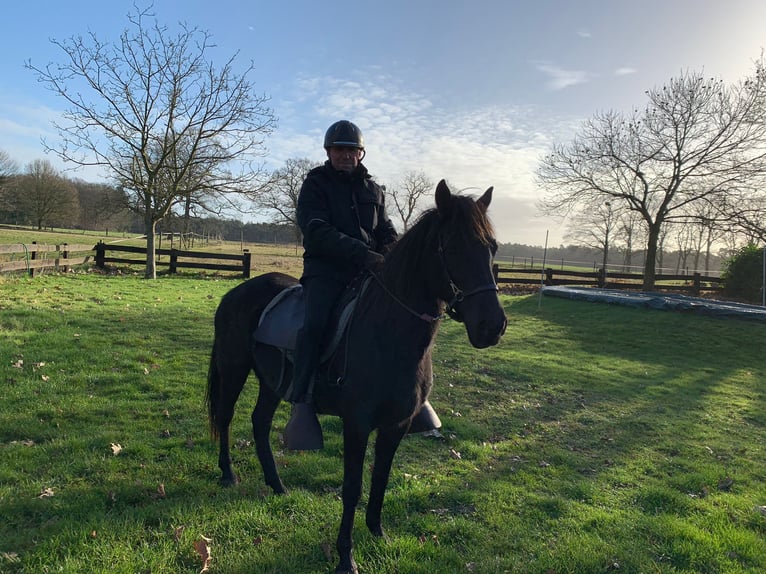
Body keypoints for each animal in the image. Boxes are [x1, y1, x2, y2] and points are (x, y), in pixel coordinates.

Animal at [208, 180, 510, 574]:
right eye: (454, 247)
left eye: (492, 248)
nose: (493, 326)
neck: (388, 332)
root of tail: (236, 292)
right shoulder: (357, 424)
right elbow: (352, 487)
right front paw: (345, 557)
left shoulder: (396, 424)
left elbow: (381, 476)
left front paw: (378, 532)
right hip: (233, 367)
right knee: (226, 416)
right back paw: (228, 474)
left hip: (272, 382)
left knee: (259, 422)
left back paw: (276, 485)